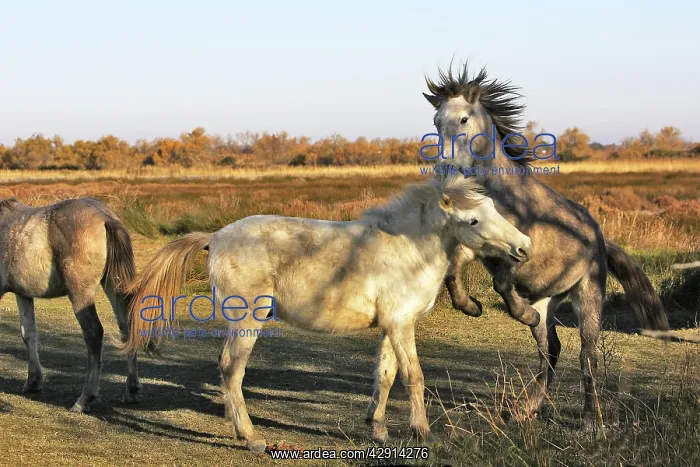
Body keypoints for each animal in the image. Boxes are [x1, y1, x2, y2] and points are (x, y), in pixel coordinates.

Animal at [0, 197, 141, 412]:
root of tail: (105, 217)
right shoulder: (23, 295)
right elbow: (29, 334)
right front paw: (33, 382)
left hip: (80, 294)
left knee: (93, 333)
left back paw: (84, 399)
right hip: (114, 286)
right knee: (126, 327)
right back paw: (131, 391)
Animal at [120, 175, 532, 451]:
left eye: (495, 210)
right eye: (473, 221)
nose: (524, 247)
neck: (408, 250)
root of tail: (215, 237)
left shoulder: (391, 326)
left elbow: (385, 376)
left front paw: (378, 429)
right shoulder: (402, 325)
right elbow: (413, 377)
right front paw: (423, 432)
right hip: (248, 321)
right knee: (231, 369)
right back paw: (252, 438)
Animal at [422, 62, 670, 429]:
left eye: (464, 119)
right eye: (437, 122)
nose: (445, 168)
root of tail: (599, 238)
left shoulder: (523, 250)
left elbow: (502, 281)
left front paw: (519, 312)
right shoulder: (475, 247)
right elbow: (453, 274)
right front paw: (472, 307)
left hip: (588, 295)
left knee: (586, 355)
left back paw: (590, 419)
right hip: (548, 300)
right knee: (550, 349)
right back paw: (526, 407)